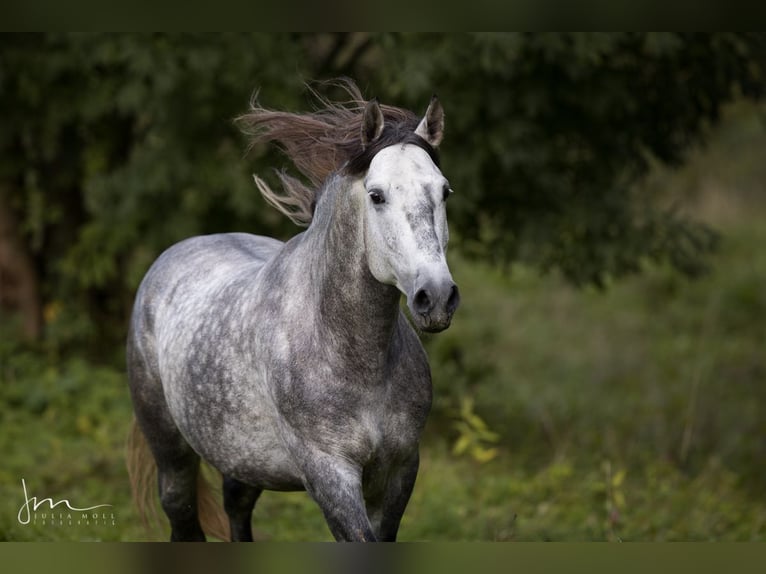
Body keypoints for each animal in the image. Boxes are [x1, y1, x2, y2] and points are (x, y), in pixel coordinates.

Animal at [127, 81, 462, 544]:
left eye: (443, 191)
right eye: (376, 195)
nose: (437, 296)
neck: (355, 361)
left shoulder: (400, 469)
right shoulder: (329, 472)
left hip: (243, 461)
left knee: (237, 509)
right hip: (171, 453)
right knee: (183, 516)